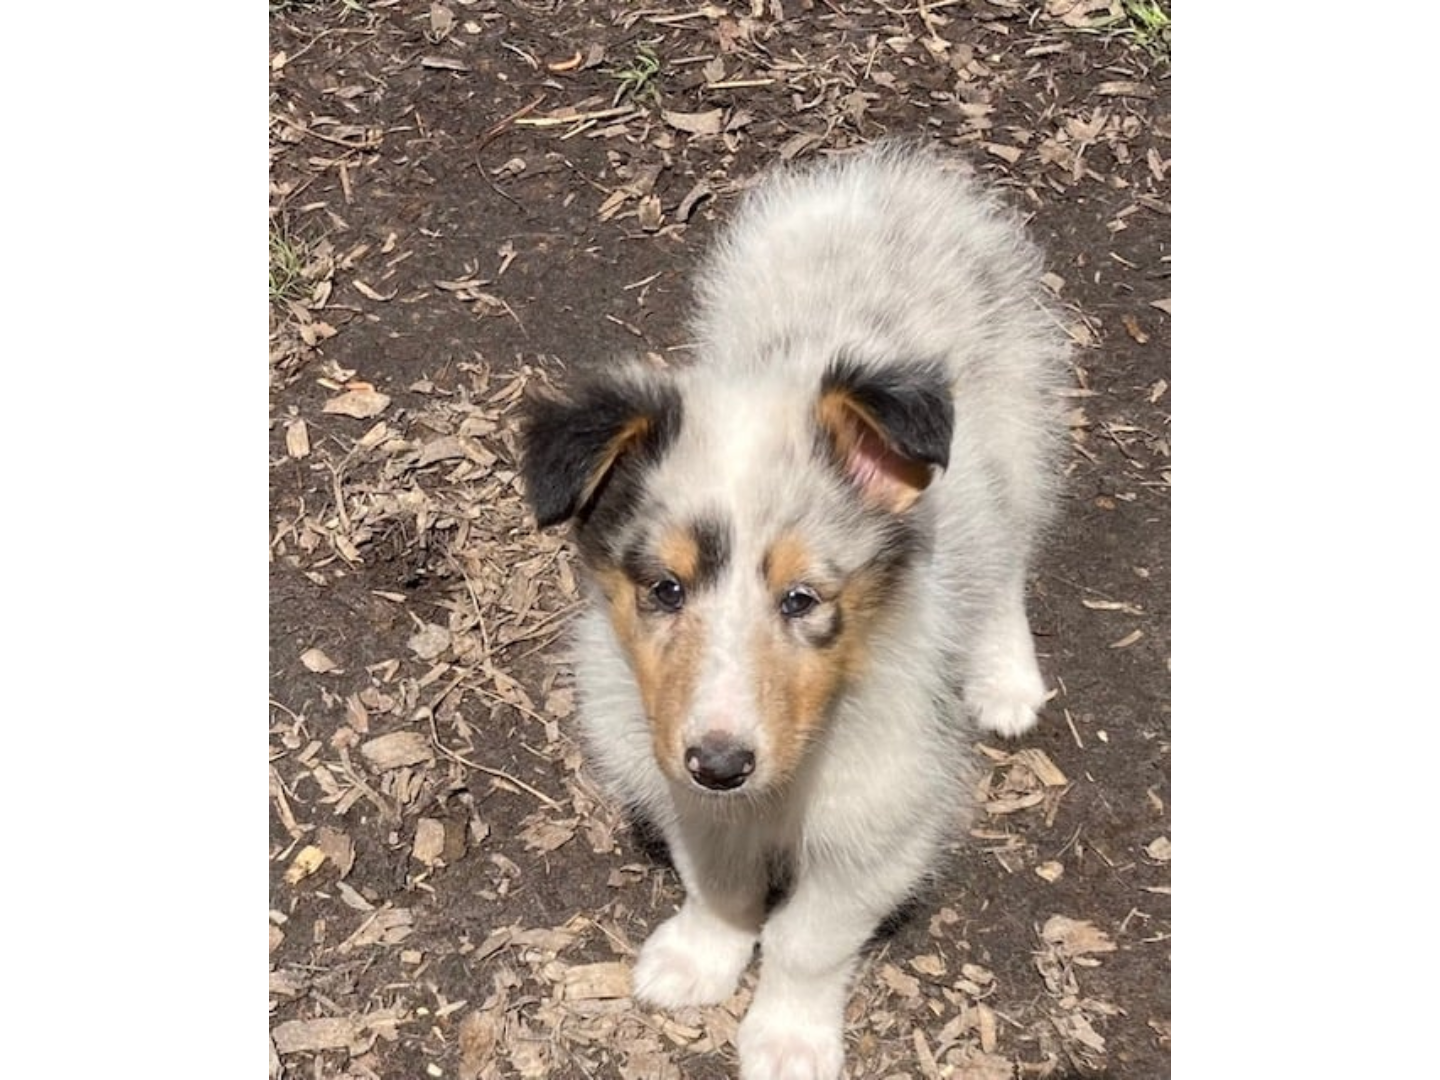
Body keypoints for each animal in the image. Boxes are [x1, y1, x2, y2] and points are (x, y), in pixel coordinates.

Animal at [518, 146, 1071, 1080]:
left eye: (802, 599)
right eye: (665, 590)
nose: (721, 763)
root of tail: (887, 184)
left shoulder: (881, 826)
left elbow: (807, 940)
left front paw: (786, 1039)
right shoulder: (683, 788)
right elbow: (719, 885)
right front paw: (698, 960)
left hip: (1013, 443)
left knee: (1007, 562)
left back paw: (1004, 680)